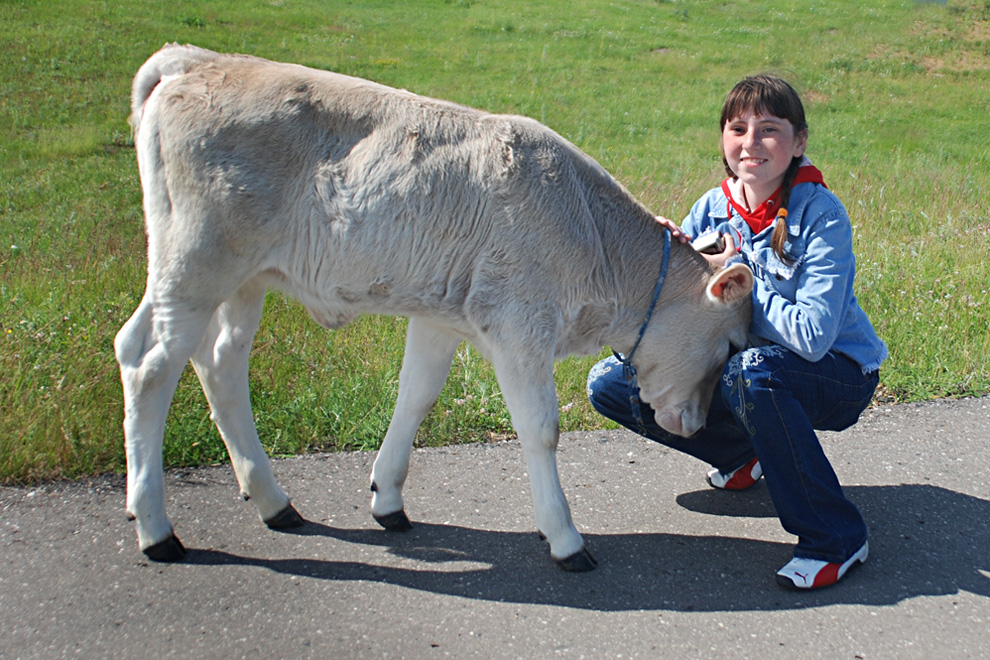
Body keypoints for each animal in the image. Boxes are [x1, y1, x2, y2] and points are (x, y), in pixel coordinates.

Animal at [118, 45, 752, 572]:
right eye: (732, 344)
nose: (697, 425)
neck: (591, 231)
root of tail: (195, 60)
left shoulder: (440, 317)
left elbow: (416, 396)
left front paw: (388, 499)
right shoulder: (520, 324)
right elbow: (540, 428)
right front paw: (565, 538)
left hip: (238, 280)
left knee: (212, 362)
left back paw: (273, 502)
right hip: (199, 263)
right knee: (151, 370)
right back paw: (157, 530)